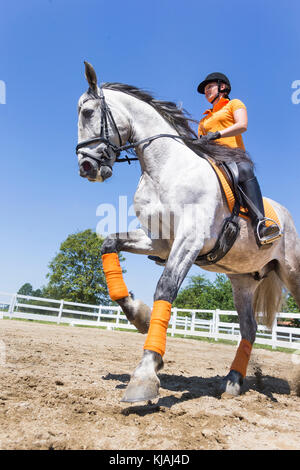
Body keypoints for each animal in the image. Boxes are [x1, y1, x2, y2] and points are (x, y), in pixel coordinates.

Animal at [76, 60, 298, 402]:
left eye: (87, 112)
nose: (85, 167)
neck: (164, 169)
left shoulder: (189, 240)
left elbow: (165, 288)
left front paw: (145, 373)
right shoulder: (158, 242)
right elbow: (109, 244)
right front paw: (138, 316)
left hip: (291, 271)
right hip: (242, 280)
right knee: (248, 328)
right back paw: (233, 382)